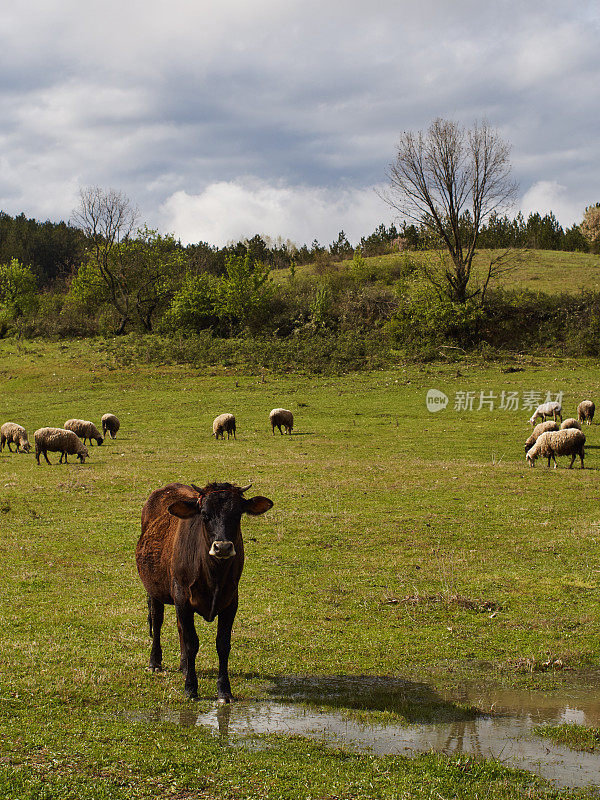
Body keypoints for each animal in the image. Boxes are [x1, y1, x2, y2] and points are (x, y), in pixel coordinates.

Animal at [135, 482, 272, 700]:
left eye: (237, 514)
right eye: (205, 515)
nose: (222, 547)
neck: (214, 576)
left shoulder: (231, 602)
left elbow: (223, 644)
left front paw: (224, 690)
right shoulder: (183, 598)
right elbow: (192, 642)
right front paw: (191, 688)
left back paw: (184, 666)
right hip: (155, 590)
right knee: (157, 621)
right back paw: (155, 662)